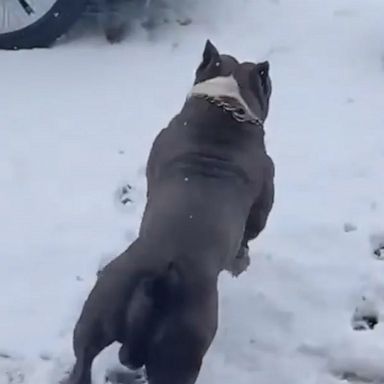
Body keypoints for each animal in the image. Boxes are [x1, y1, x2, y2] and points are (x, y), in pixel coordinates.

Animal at [67, 39, 276, 384]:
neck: (223, 106)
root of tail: (159, 281)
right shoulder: (262, 202)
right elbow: (249, 236)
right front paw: (241, 263)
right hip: (182, 351)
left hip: (97, 312)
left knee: (82, 360)